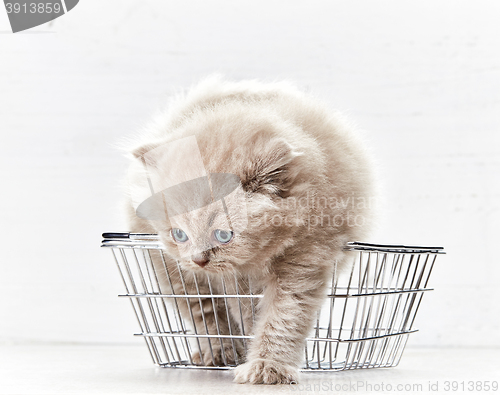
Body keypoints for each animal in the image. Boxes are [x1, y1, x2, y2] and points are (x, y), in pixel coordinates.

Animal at [125, 76, 376, 386]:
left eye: (223, 235)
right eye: (179, 234)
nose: (198, 260)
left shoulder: (305, 256)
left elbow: (282, 317)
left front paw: (267, 366)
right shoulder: (190, 274)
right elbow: (215, 314)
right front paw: (230, 353)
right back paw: (218, 354)